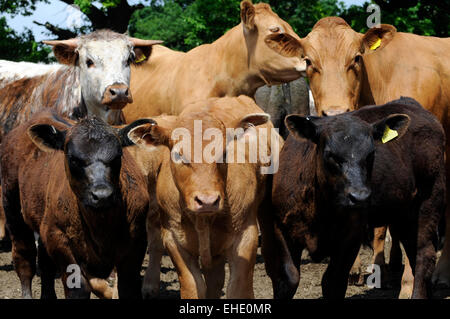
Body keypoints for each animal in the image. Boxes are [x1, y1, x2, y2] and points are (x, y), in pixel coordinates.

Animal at [0, 110, 153, 300]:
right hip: (13, 209)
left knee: (45, 265)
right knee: (24, 259)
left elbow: (127, 288)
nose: (101, 195)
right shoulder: (60, 240)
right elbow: (78, 288)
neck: (101, 226)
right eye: (73, 159)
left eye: (118, 157)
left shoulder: (136, 243)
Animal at [125, 95, 282, 300]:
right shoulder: (174, 240)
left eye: (224, 153)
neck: (203, 220)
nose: (207, 201)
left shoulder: (246, 237)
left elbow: (237, 289)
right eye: (178, 155)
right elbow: (194, 286)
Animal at [264, 97, 442, 300]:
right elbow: (289, 278)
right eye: (330, 155)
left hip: (428, 202)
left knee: (423, 256)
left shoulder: (351, 235)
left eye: (371, 154)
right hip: (402, 215)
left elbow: (333, 282)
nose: (360, 196)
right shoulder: (282, 228)